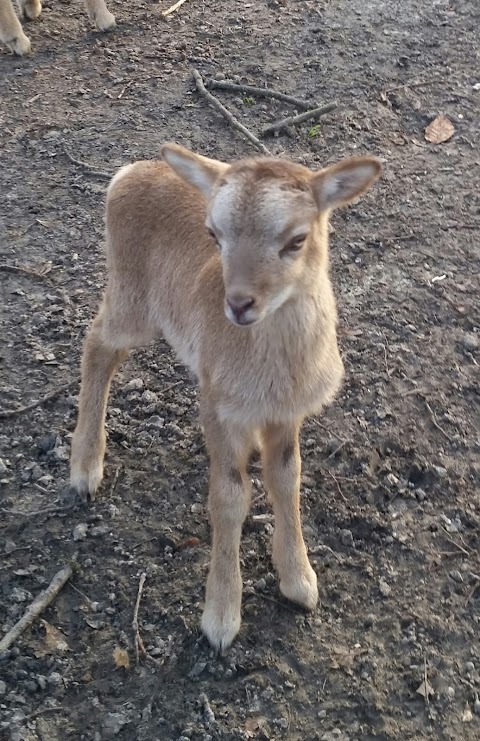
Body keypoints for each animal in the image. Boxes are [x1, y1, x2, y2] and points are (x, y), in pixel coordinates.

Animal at [69, 143, 380, 648]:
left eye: (297, 239)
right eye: (213, 234)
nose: (238, 304)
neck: (274, 373)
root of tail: (131, 172)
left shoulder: (286, 412)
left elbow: (286, 479)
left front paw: (300, 582)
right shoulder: (216, 405)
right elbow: (230, 498)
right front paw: (220, 619)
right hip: (132, 301)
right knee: (98, 345)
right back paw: (84, 469)